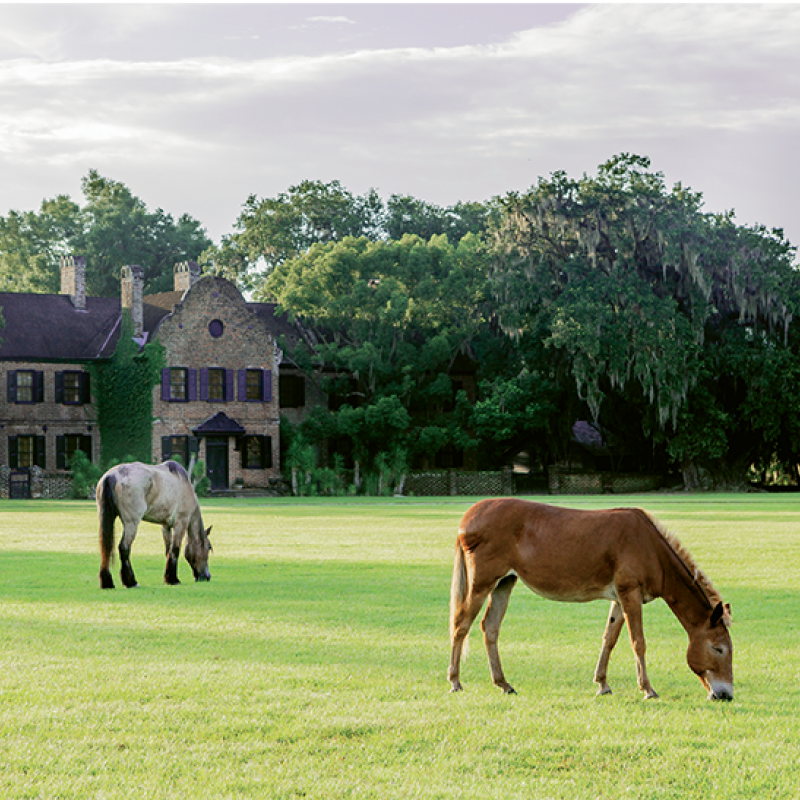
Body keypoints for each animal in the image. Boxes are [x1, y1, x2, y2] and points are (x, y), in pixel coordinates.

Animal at [97, 460, 212, 589]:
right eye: (209, 547)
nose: (207, 577)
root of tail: (112, 476)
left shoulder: (166, 526)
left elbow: (168, 550)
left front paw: (168, 578)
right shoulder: (180, 523)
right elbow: (175, 550)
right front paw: (173, 579)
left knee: (106, 549)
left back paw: (107, 582)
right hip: (131, 524)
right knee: (124, 547)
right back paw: (131, 582)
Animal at [448, 498, 733, 701]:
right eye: (718, 648)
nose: (726, 695)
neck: (650, 547)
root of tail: (467, 518)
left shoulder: (620, 598)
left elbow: (609, 639)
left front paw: (603, 684)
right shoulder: (630, 593)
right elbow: (638, 642)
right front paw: (647, 689)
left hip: (504, 583)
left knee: (490, 627)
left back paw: (503, 683)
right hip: (482, 583)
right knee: (461, 624)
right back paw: (455, 681)